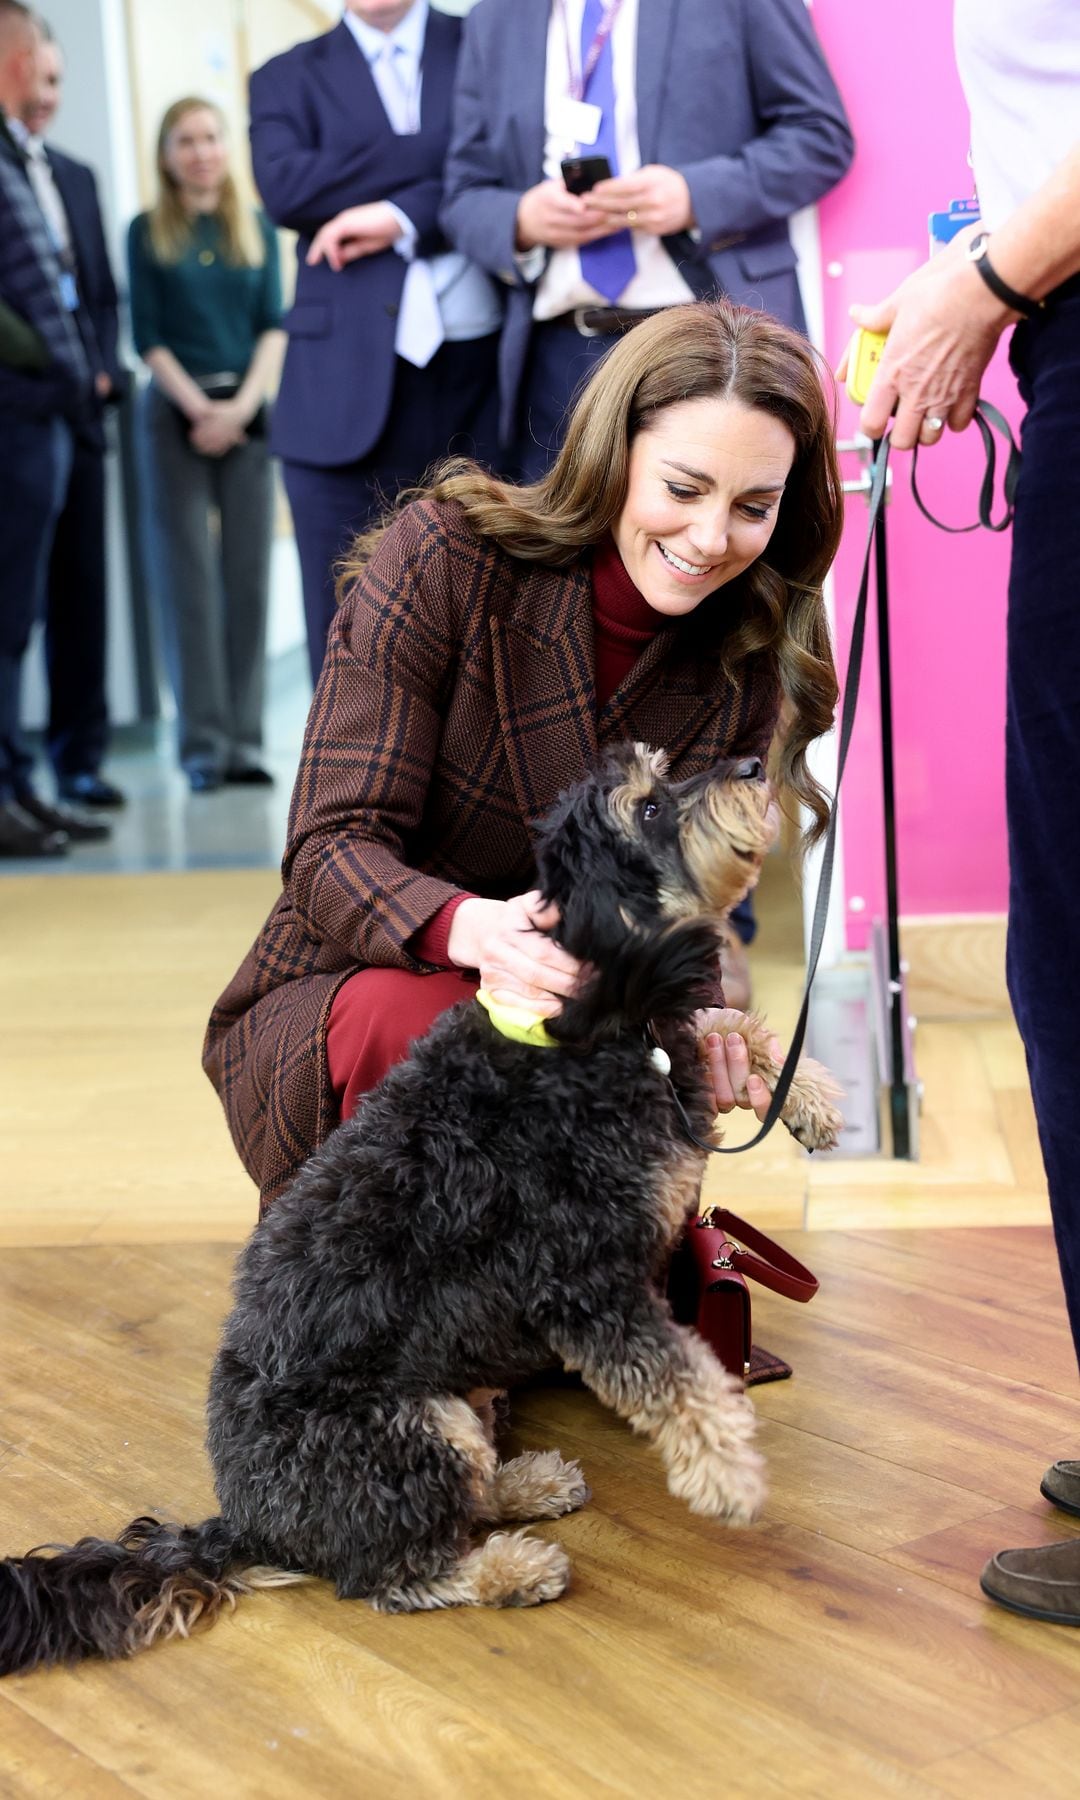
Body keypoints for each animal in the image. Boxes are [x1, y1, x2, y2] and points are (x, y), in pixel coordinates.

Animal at [0, 745, 842, 1670]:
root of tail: (248, 1526)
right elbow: (679, 1382)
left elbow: (725, 1022)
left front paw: (809, 1094)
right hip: (412, 1427)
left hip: (454, 1399)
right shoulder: (583, 1282)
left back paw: (524, 1482)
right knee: (394, 1575)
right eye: (650, 807)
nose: (751, 763)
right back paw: (509, 1567)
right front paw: (730, 1477)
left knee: (456, 1503)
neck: (582, 1028)